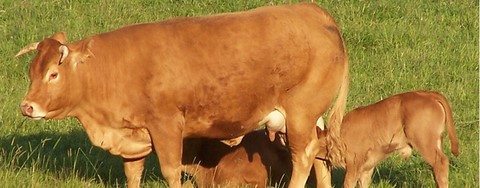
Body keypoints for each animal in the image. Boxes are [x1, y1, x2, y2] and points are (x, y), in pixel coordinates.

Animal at [15, 2, 348, 188]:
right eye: (32, 72)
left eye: (53, 74)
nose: (27, 107)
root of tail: (316, 12)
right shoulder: (133, 136)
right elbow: (132, 173)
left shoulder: (166, 126)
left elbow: (171, 172)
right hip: (311, 118)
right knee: (320, 154)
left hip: (300, 114)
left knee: (304, 156)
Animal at [316, 90, 460, 187]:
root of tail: (428, 94)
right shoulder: (367, 167)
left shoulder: (353, 162)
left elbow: (348, 183)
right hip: (436, 142)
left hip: (424, 142)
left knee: (441, 163)